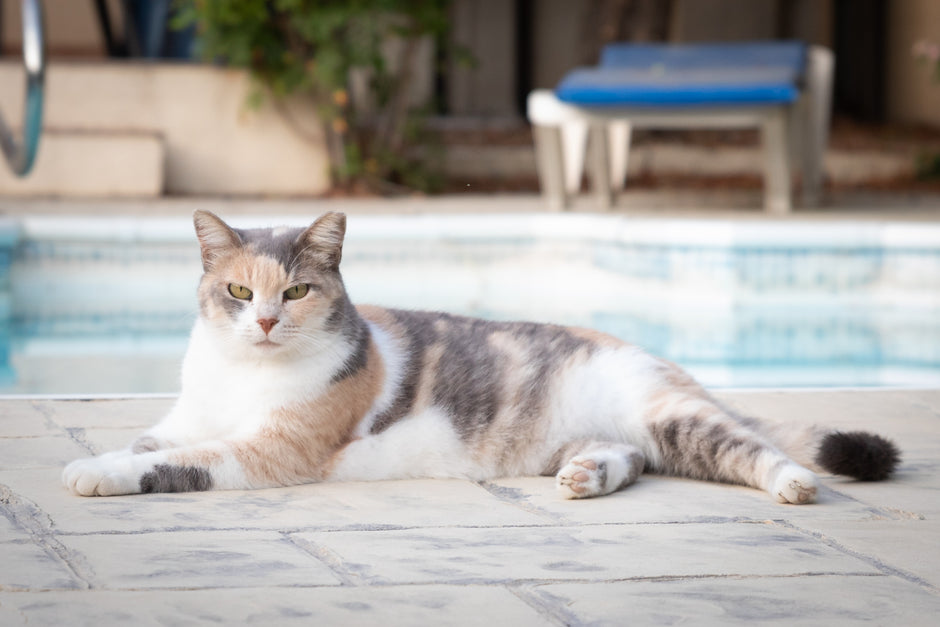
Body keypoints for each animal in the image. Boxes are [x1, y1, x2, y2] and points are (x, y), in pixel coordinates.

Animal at [62, 213, 900, 502]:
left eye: (296, 290)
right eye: (238, 289)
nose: (265, 320)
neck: (245, 376)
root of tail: (649, 352)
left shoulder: (269, 449)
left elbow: (169, 463)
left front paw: (97, 475)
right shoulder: (187, 419)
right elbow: (146, 442)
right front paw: (94, 459)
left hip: (681, 420)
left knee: (754, 448)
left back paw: (794, 484)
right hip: (617, 436)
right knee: (629, 457)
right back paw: (587, 475)